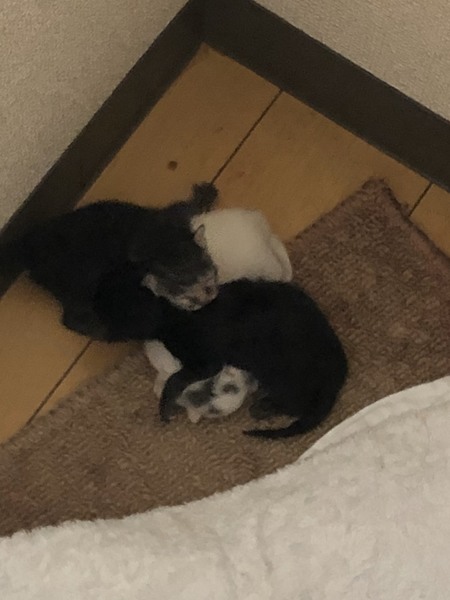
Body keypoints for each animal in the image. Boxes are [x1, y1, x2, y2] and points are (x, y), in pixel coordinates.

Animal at [12, 183, 219, 338]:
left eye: (208, 285)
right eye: (188, 299)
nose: (206, 299)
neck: (164, 246)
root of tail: (29, 248)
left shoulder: (169, 217)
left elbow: (185, 206)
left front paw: (205, 193)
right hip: (76, 278)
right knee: (74, 315)